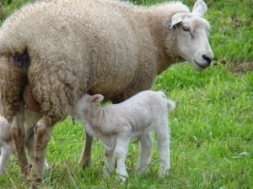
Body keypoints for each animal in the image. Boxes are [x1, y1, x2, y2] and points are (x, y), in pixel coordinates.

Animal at [0, 0, 213, 186]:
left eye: (208, 30)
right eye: (186, 29)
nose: (208, 58)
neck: (150, 32)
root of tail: (18, 37)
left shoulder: (94, 91)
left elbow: (89, 130)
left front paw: (86, 164)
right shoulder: (131, 89)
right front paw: (122, 169)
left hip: (16, 90)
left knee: (19, 130)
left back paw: (24, 173)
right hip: (56, 85)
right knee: (43, 132)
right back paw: (37, 177)